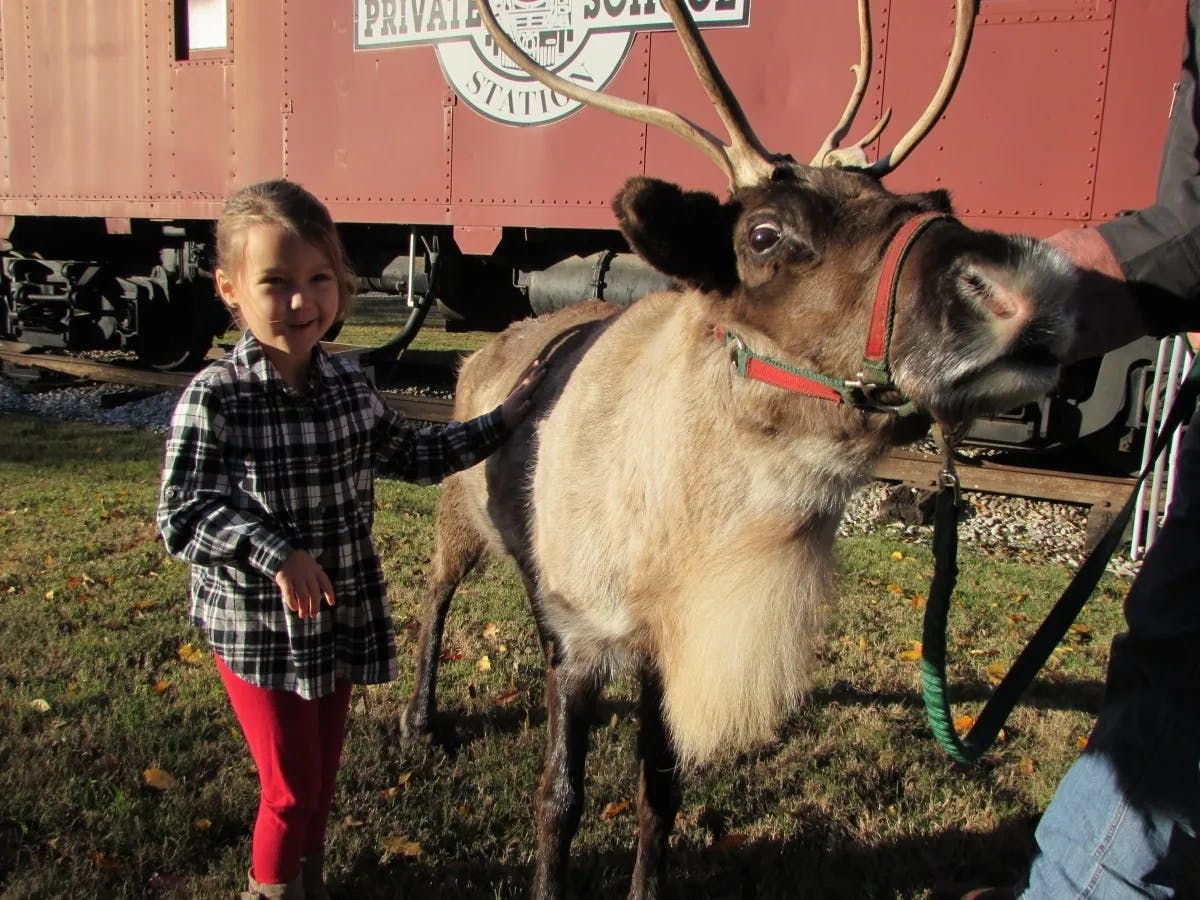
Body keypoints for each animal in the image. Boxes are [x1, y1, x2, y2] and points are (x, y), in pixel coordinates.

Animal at [400, 1, 1077, 897]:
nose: (1026, 282)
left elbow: (660, 788)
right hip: (456, 512)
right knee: (436, 597)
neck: (689, 539)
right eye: (763, 234)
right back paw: (418, 719)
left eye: (930, 195)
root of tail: (485, 350)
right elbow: (559, 799)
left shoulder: (667, 645)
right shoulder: (581, 635)